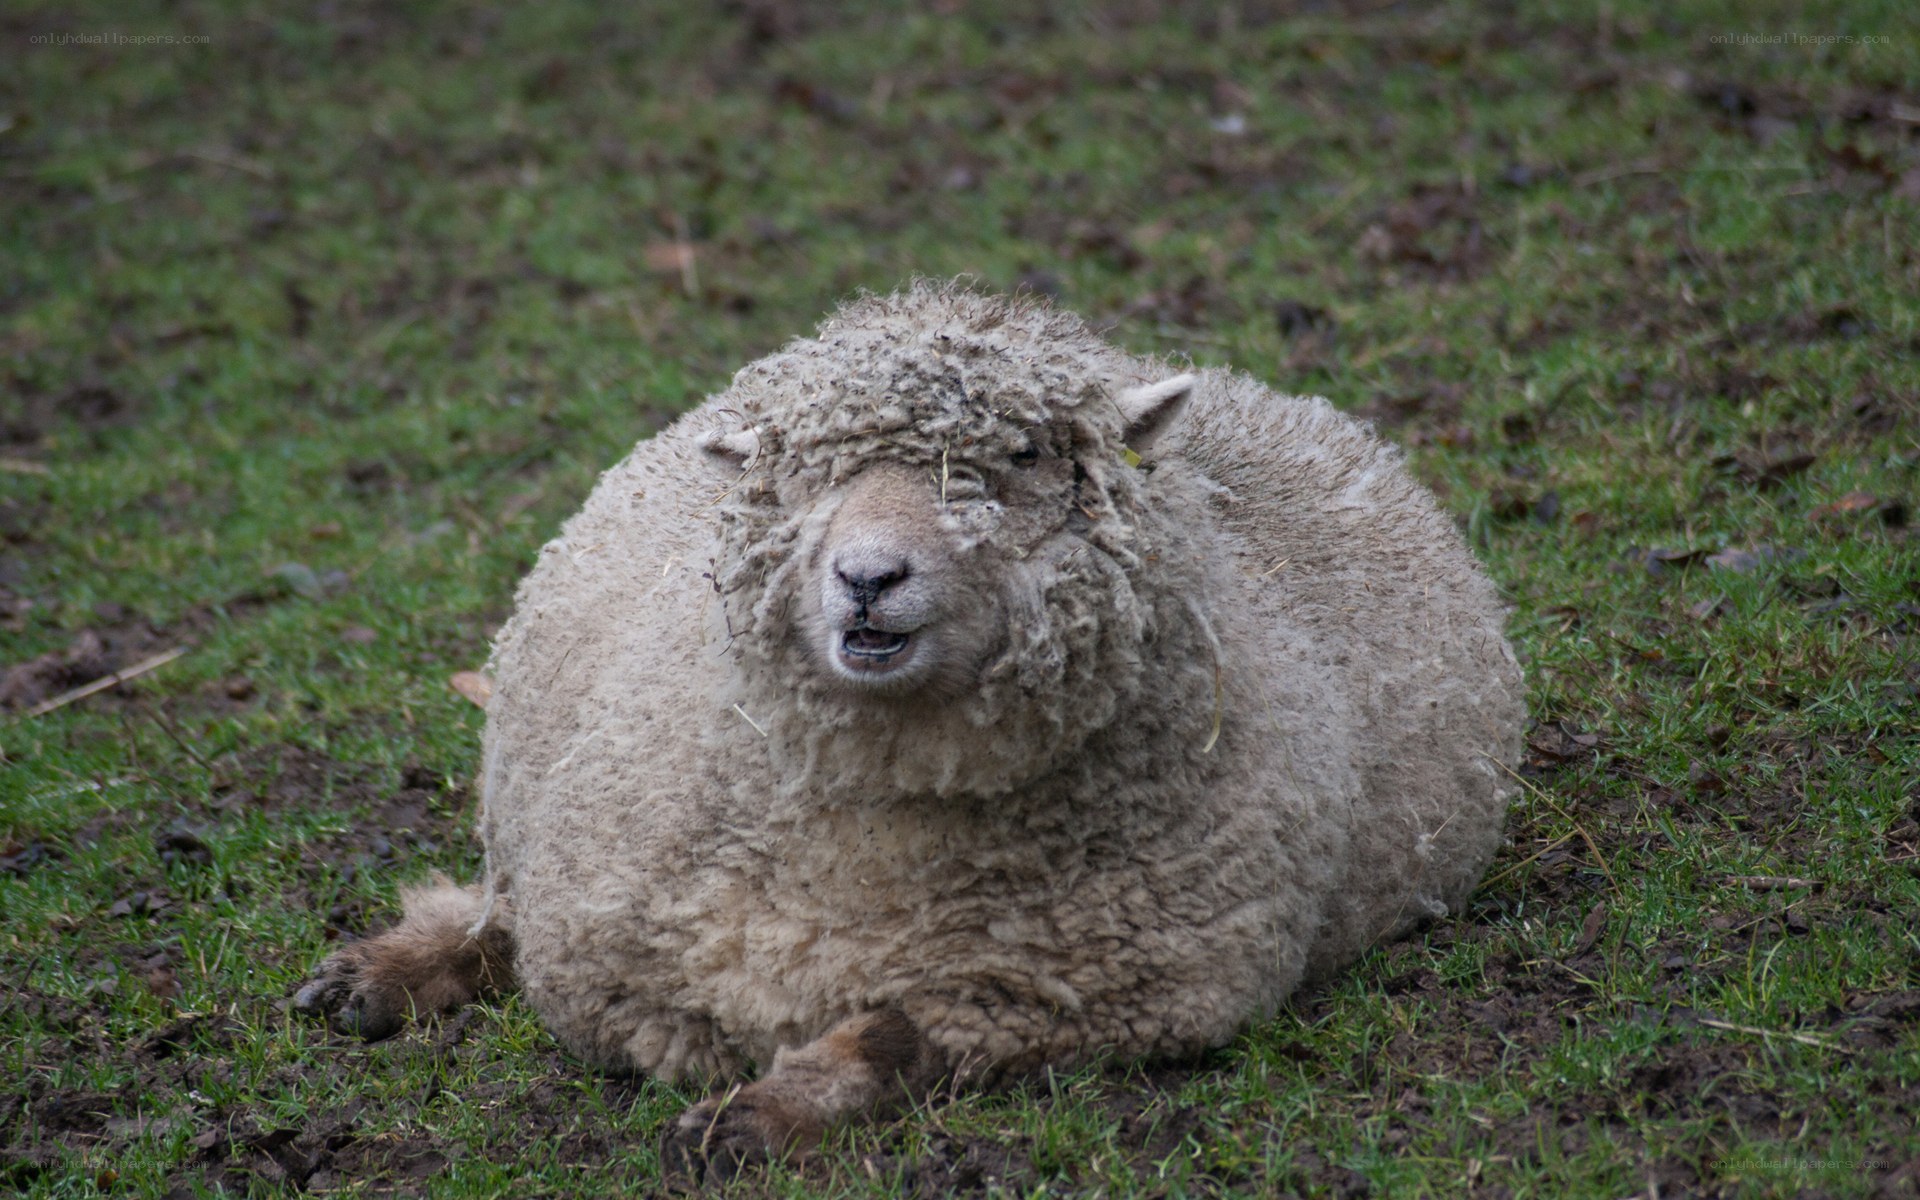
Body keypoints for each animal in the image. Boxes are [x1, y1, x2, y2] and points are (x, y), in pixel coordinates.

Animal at [295, 282, 1526, 1172]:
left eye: (1023, 458)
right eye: (799, 476)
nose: (868, 579)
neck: (879, 826)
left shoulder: (1100, 989)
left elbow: (893, 1039)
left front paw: (756, 1116)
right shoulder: (609, 945)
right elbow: (622, 1006)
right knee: (500, 912)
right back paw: (376, 976)